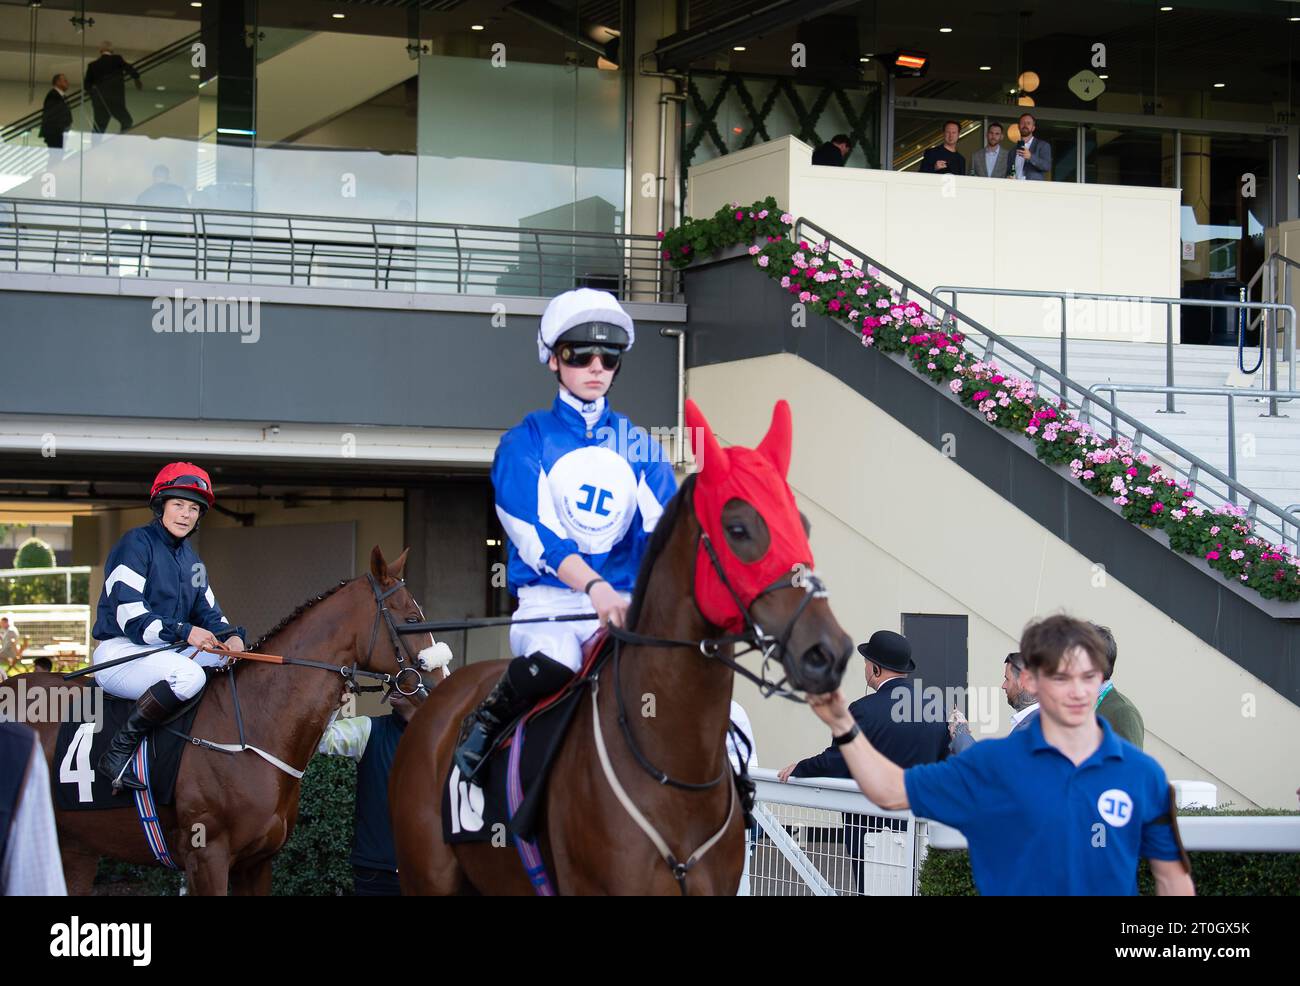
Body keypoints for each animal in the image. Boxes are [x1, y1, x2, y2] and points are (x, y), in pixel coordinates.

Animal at [3, 548, 431, 894]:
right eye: (412, 618)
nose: (438, 678)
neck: (253, 727)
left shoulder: (257, 862)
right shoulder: (206, 857)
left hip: (73, 846)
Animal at [384, 400, 852, 894]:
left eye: (802, 525)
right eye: (738, 528)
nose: (828, 651)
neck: (676, 776)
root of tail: (436, 701)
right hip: (424, 877)